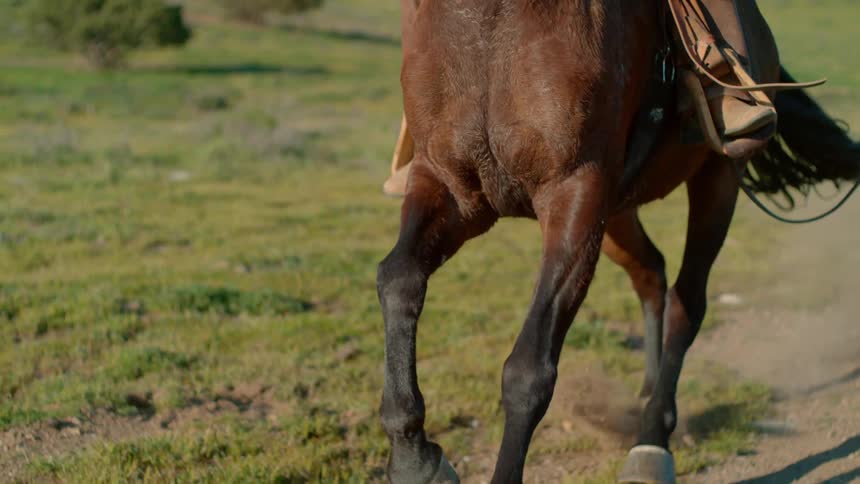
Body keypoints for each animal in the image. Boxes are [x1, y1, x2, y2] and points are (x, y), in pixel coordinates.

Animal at [376, 1, 860, 482]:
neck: (492, 27)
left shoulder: (576, 194)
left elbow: (529, 369)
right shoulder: (449, 188)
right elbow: (398, 279)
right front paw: (414, 459)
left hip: (718, 181)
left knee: (687, 302)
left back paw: (652, 440)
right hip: (618, 218)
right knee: (651, 273)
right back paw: (646, 396)